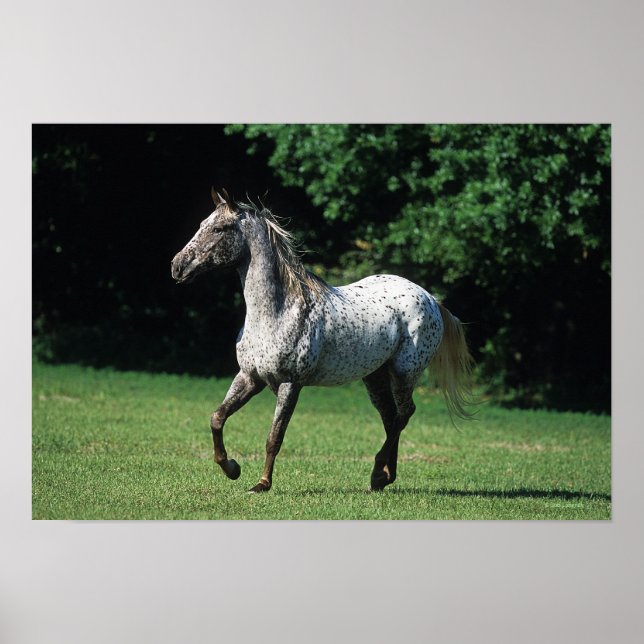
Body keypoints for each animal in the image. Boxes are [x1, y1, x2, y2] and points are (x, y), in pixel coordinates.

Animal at [171, 189, 475, 493]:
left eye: (220, 228)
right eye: (202, 224)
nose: (177, 266)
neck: (277, 311)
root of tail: (430, 298)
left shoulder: (290, 384)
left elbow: (274, 438)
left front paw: (262, 484)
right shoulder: (249, 378)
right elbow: (217, 418)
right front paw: (232, 468)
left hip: (404, 373)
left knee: (404, 413)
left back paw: (378, 472)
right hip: (375, 377)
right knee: (391, 418)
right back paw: (384, 478)